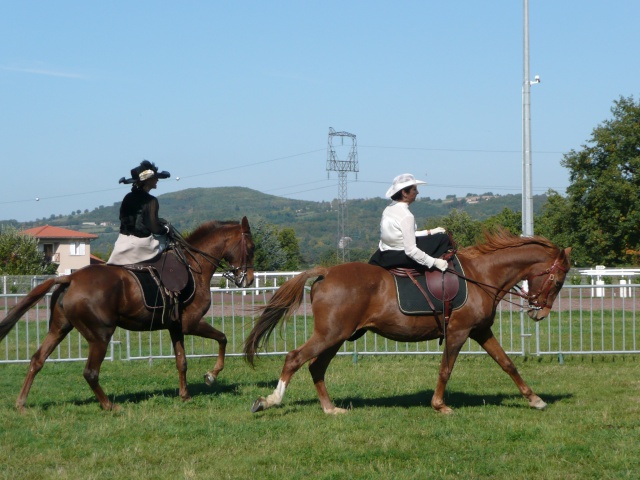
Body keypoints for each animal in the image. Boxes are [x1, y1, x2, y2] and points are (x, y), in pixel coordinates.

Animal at [0, 217, 255, 408]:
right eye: (251, 248)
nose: (250, 280)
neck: (194, 265)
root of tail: (70, 278)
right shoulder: (190, 324)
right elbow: (223, 338)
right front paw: (212, 375)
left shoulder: (175, 327)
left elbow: (181, 362)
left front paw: (185, 395)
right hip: (100, 336)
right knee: (90, 372)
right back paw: (109, 405)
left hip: (60, 329)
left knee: (37, 360)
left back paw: (21, 403)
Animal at [244, 231, 568, 414]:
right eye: (559, 280)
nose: (539, 314)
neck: (481, 275)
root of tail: (326, 272)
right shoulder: (459, 332)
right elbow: (446, 369)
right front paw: (439, 405)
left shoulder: (480, 331)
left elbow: (507, 364)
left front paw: (535, 399)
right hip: (330, 334)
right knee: (295, 358)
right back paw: (270, 401)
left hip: (337, 336)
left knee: (315, 367)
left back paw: (330, 408)